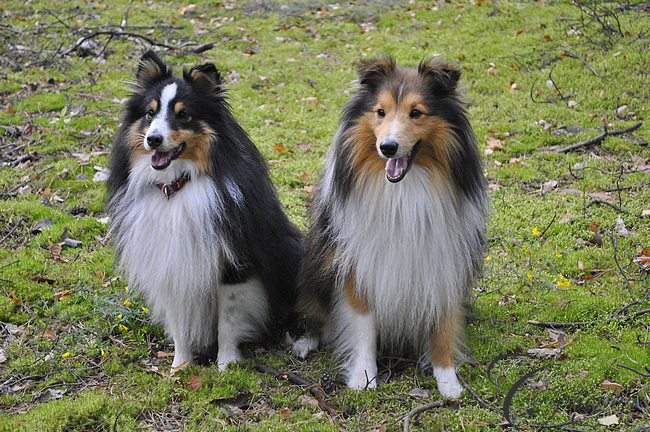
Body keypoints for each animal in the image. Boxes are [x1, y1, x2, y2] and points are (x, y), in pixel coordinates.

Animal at [107, 50, 304, 371]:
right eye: (149, 113)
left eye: (183, 114)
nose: (153, 140)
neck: (176, 188)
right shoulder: (171, 264)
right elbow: (179, 324)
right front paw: (180, 366)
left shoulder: (234, 264)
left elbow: (228, 321)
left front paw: (226, 365)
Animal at [293, 58, 486, 398]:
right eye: (380, 112)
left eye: (416, 112)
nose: (388, 147)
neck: (403, 192)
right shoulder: (359, 267)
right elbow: (362, 328)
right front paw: (364, 376)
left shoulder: (444, 264)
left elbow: (443, 328)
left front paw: (448, 379)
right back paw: (306, 342)